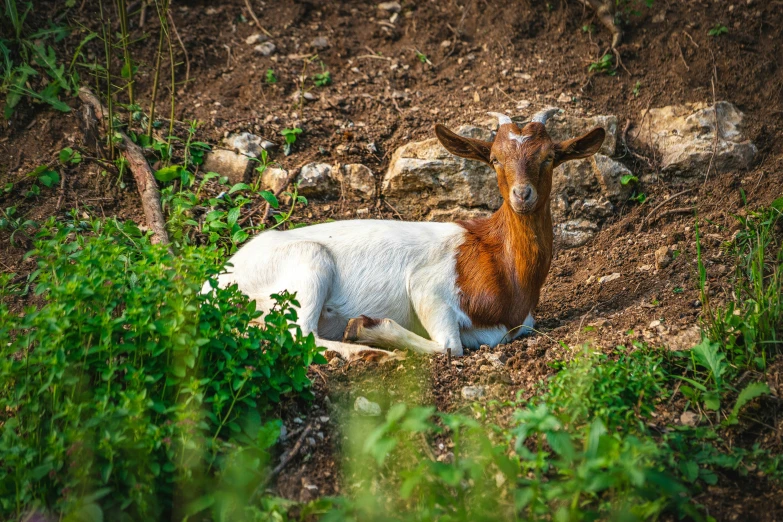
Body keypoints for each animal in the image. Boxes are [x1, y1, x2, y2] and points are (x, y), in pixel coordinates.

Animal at [211, 108, 608, 358]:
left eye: (549, 157)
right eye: (495, 158)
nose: (522, 195)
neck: (506, 267)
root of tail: (214, 286)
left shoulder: (515, 326)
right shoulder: (428, 287)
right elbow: (450, 346)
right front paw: (368, 327)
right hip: (307, 265)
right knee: (301, 335)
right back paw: (368, 353)